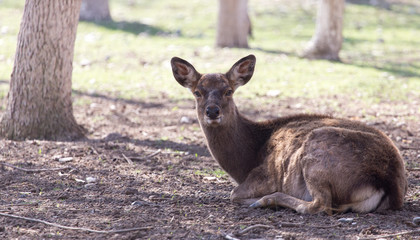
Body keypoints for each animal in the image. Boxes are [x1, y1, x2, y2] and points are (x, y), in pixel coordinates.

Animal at [171, 54, 406, 214]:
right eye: (197, 92)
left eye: (229, 91)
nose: (212, 111)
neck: (245, 161)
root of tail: (386, 182)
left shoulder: (265, 175)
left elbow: (233, 194)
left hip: (317, 151)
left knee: (320, 205)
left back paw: (265, 201)